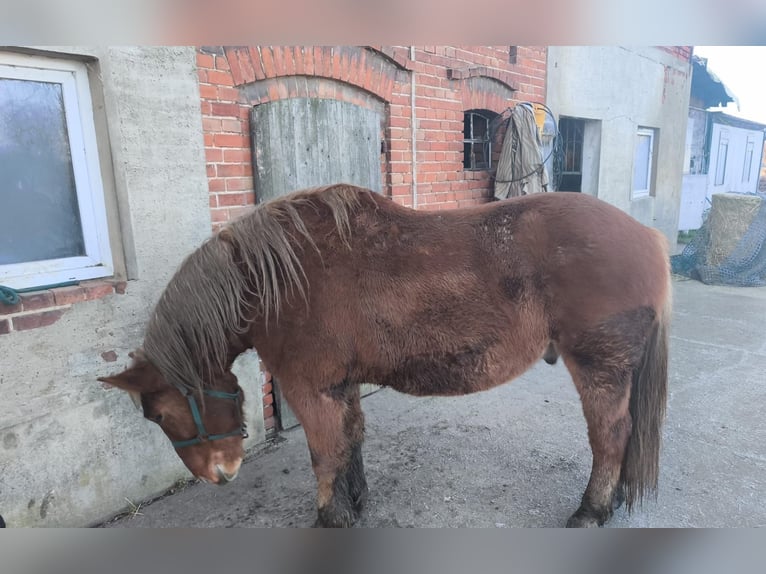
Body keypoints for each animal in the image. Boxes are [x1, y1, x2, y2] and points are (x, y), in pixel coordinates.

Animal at [99, 183, 671, 528]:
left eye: (159, 414)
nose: (218, 474)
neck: (275, 282)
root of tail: (648, 235)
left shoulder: (311, 389)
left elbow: (325, 453)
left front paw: (330, 517)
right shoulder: (341, 385)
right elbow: (350, 442)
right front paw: (354, 502)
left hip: (600, 366)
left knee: (611, 435)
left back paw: (592, 509)